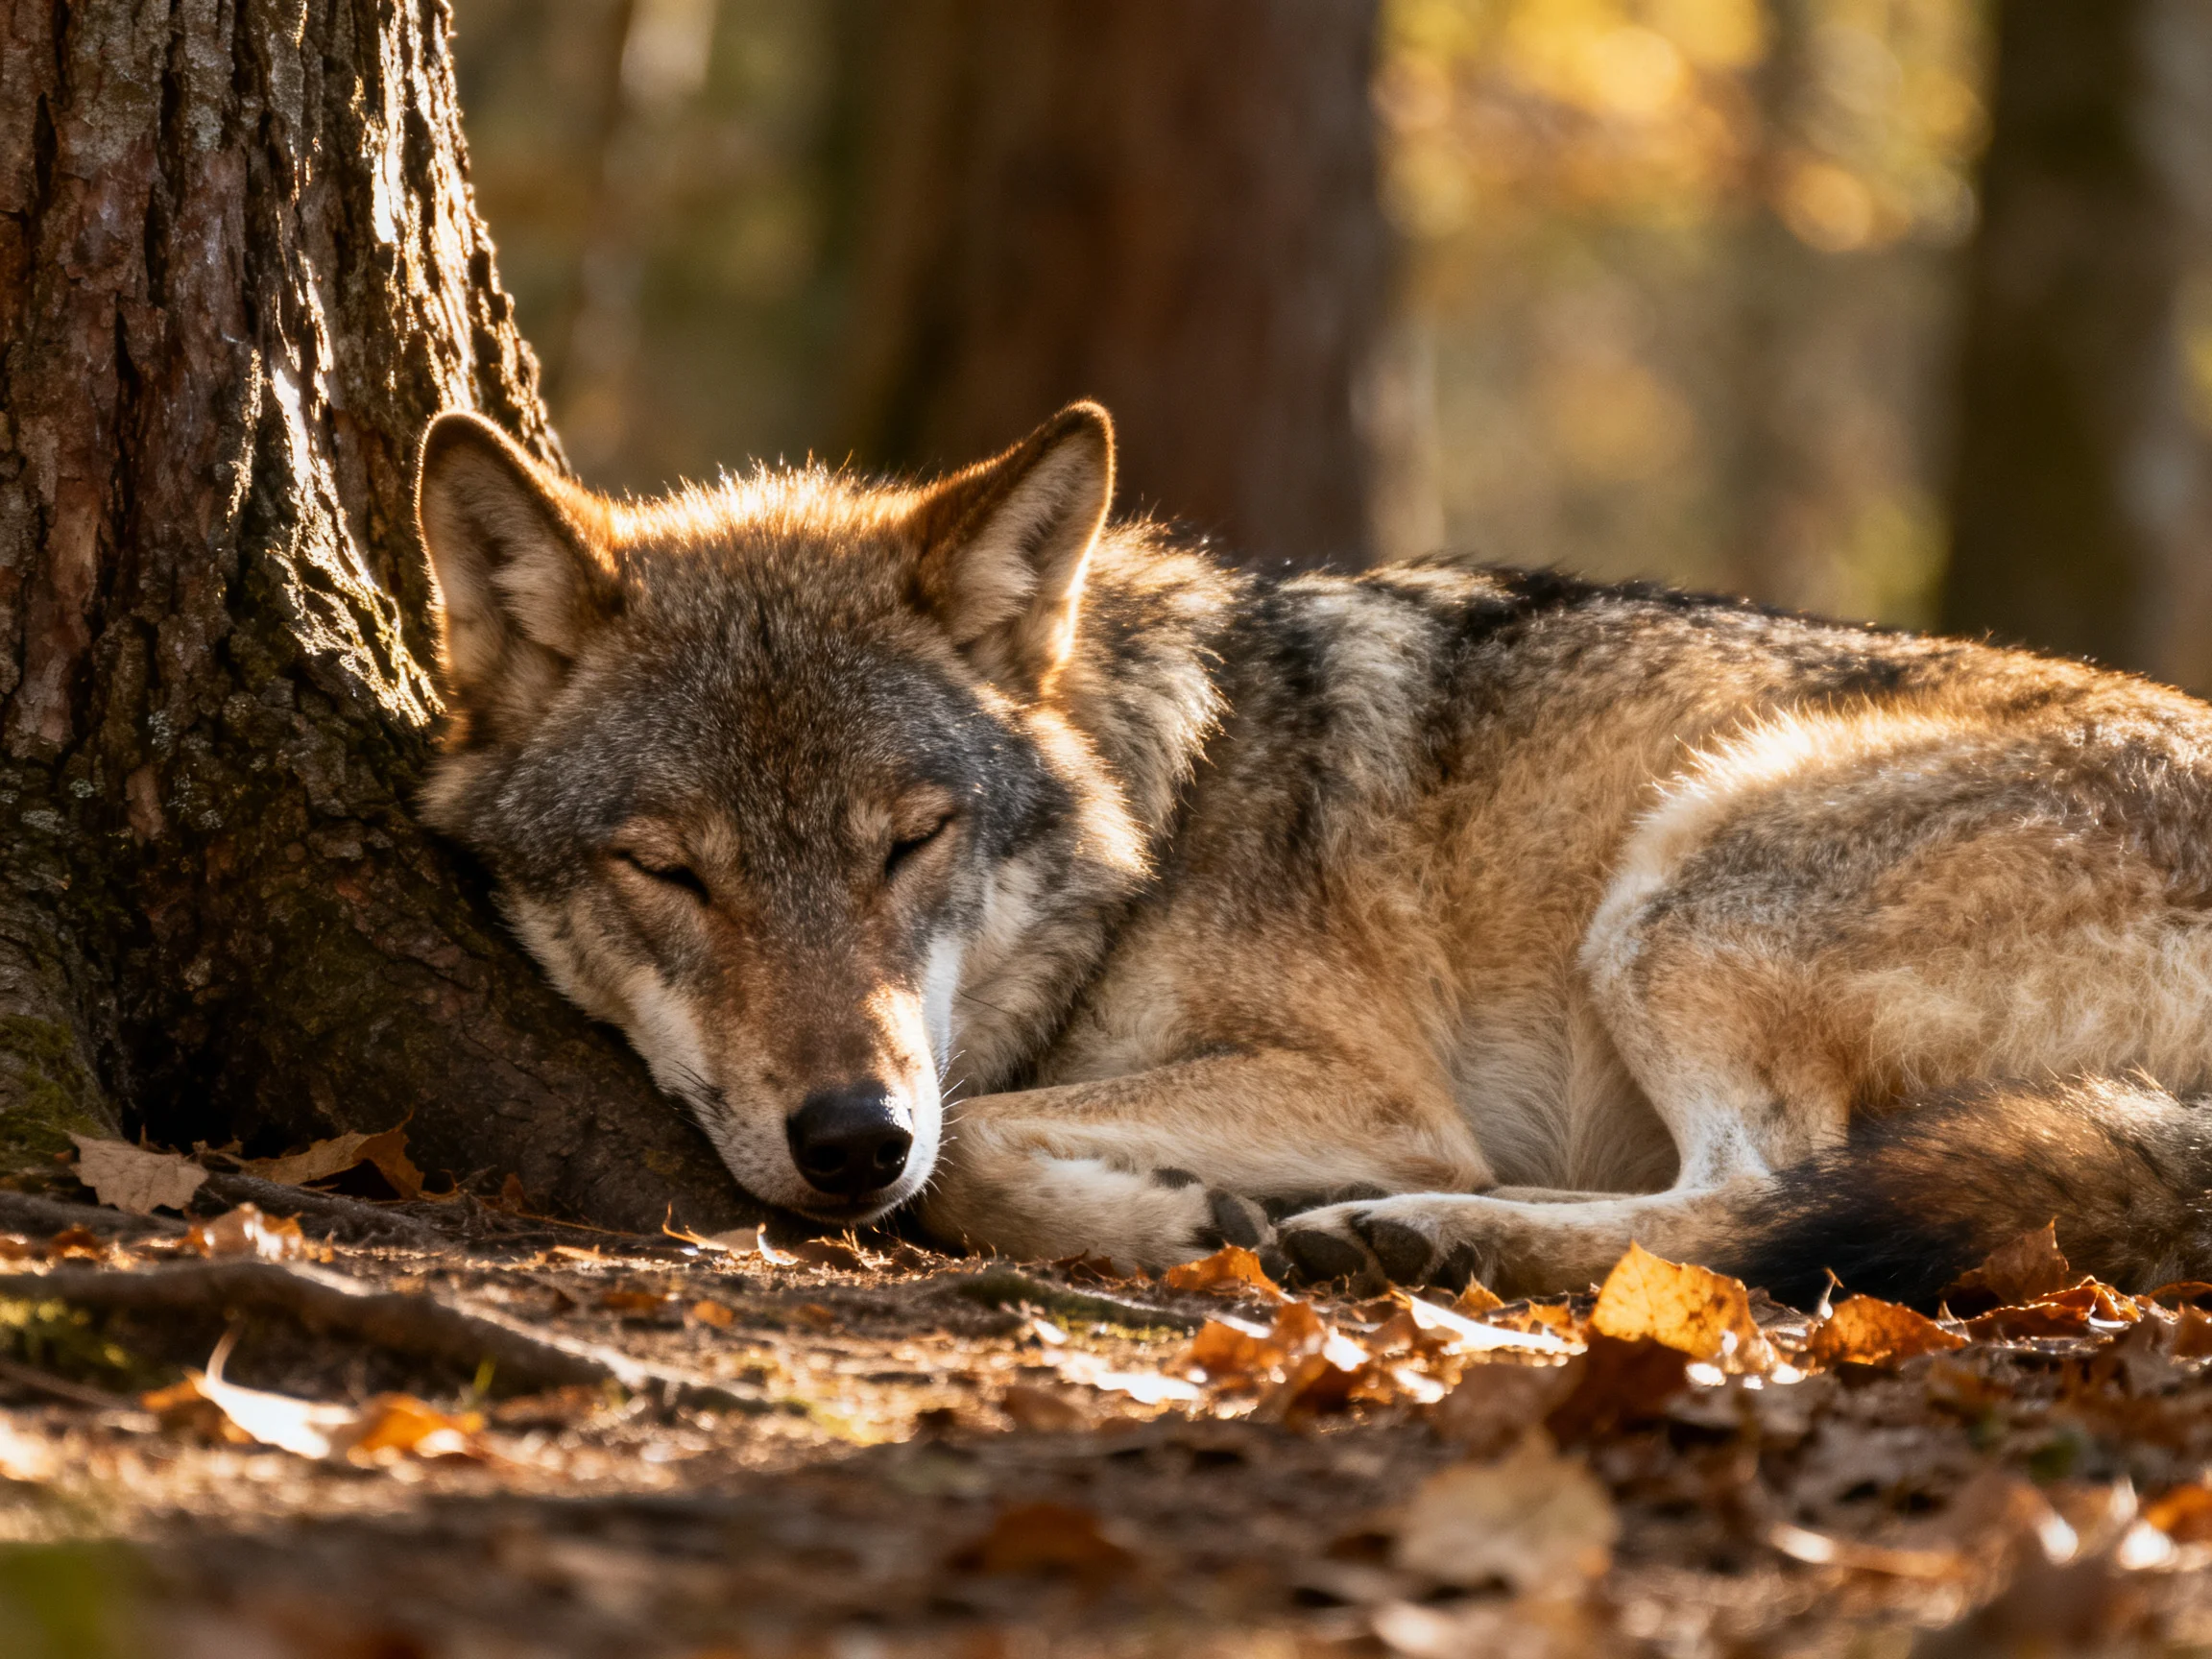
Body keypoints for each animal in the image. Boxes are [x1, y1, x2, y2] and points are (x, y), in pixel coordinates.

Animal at [414, 400, 2212, 1308]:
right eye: (671, 870)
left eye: (908, 842)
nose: (852, 1138)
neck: (1156, 819)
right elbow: (977, 1134)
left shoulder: (1361, 1078)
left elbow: (977, 1131)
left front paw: (1161, 1222)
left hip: (1684, 877)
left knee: (1761, 1199)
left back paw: (1420, 1232)